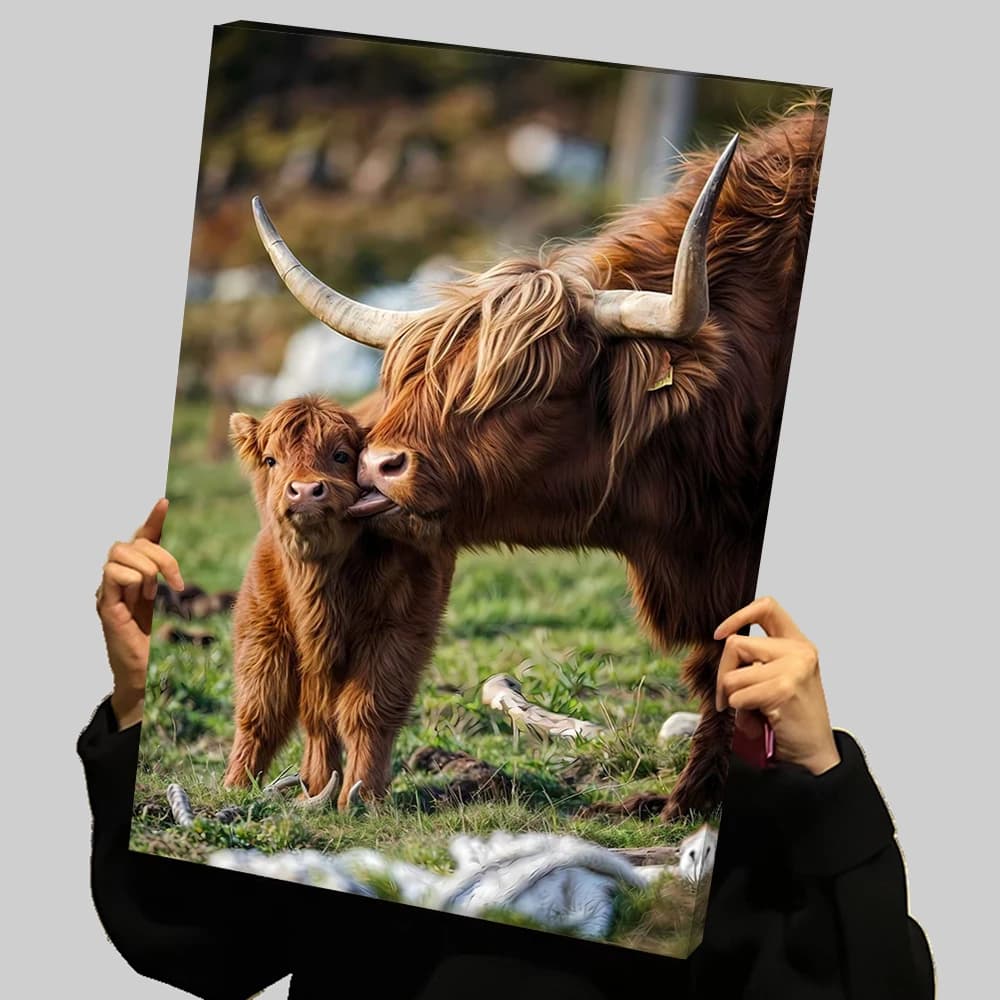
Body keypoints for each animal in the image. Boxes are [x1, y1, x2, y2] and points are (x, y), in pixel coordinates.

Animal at [222, 395, 454, 810]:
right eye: (271, 459)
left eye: (341, 455)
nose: (305, 491)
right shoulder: (263, 628)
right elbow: (261, 709)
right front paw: (235, 785)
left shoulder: (397, 634)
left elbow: (367, 712)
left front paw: (362, 796)